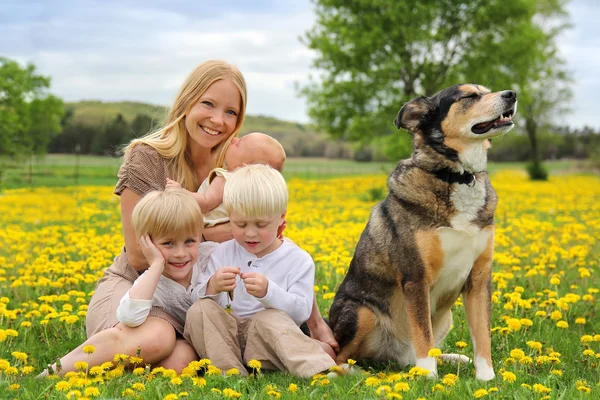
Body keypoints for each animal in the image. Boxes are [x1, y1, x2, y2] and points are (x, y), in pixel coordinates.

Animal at [328, 83, 516, 382]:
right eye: (469, 96)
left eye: (487, 90)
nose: (512, 94)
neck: (458, 176)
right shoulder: (416, 278)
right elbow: (423, 336)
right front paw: (429, 377)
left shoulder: (479, 278)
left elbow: (482, 336)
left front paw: (487, 378)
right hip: (361, 312)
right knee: (336, 357)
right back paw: (352, 371)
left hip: (446, 318)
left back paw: (451, 358)